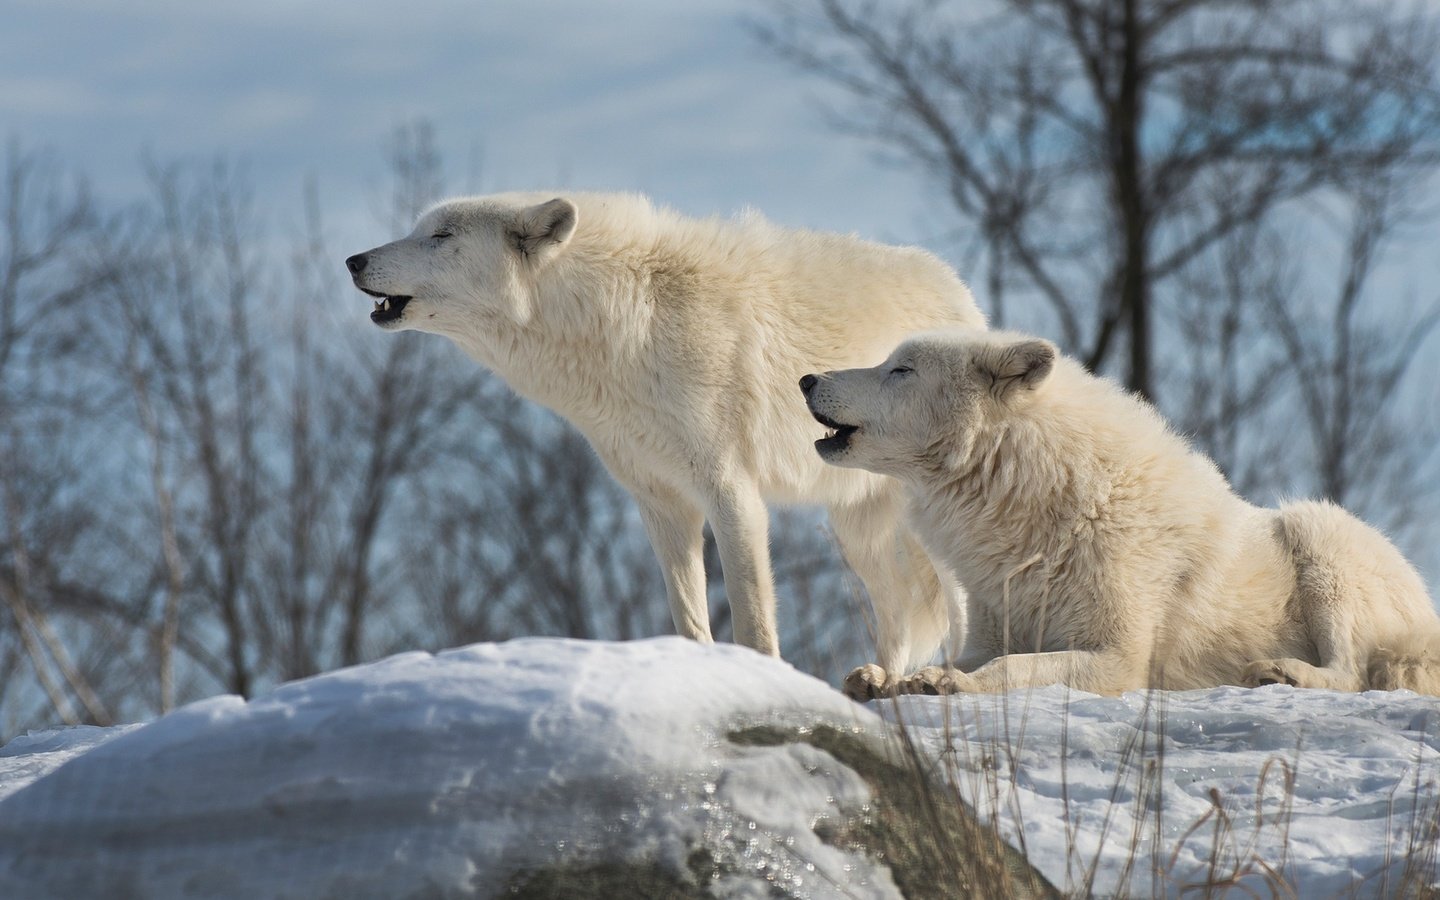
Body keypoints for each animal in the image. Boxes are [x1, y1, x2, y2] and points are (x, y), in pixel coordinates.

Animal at [342, 192, 984, 691]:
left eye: (439, 235)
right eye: (419, 230)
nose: (352, 259)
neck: (626, 326)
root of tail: (959, 291)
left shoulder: (730, 489)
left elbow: (752, 619)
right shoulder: (660, 502)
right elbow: (690, 618)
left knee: (955, 600)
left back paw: (945, 679)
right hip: (857, 527)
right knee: (898, 608)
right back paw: (884, 681)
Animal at [800, 328, 1440, 694]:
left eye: (900, 370)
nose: (806, 378)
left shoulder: (1118, 659)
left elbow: (1012, 669)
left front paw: (943, 683)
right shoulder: (993, 627)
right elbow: (970, 659)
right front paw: (886, 678)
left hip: (1320, 539)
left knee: (1355, 675)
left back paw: (1284, 673)